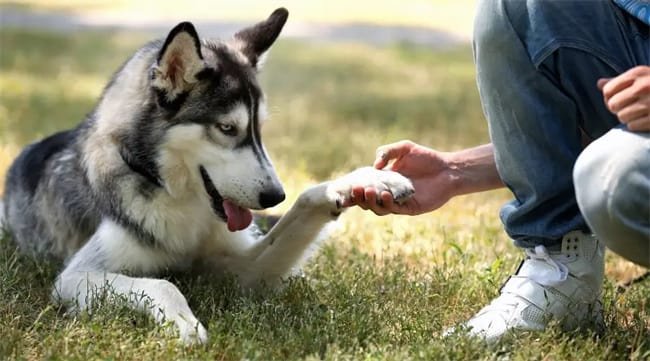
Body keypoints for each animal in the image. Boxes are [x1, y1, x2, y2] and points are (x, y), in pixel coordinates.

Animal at [1, 7, 410, 340]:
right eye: (227, 128)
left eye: (260, 129)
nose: (274, 196)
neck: (176, 198)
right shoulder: (75, 277)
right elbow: (163, 284)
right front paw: (182, 322)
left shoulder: (242, 270)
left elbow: (305, 202)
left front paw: (365, 181)